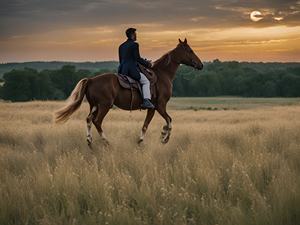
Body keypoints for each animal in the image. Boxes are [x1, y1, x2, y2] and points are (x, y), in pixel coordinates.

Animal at [54, 38, 203, 146]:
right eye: (190, 50)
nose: (201, 65)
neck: (162, 74)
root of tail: (91, 80)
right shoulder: (160, 106)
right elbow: (169, 120)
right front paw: (164, 138)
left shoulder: (153, 108)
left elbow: (147, 125)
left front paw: (149, 137)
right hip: (104, 106)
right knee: (97, 121)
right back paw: (106, 142)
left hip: (94, 106)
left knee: (89, 120)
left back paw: (90, 141)